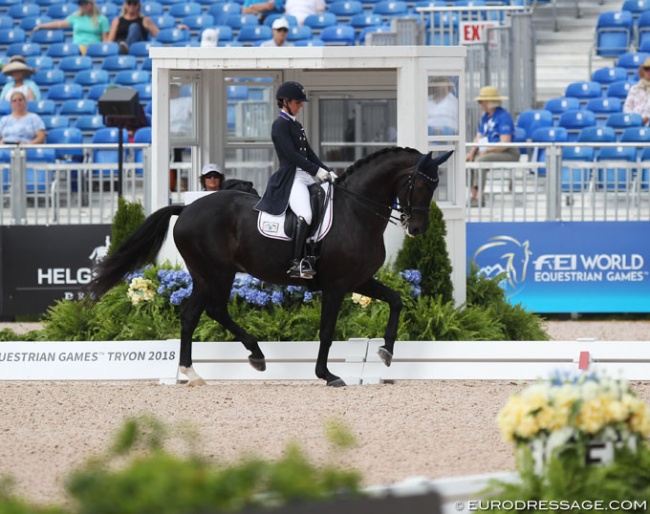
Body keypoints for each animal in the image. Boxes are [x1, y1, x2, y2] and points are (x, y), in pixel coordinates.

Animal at [86, 146, 450, 386]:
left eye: (436, 185)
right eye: (420, 184)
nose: (418, 229)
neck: (356, 213)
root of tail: (186, 209)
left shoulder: (359, 280)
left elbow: (396, 301)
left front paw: (386, 352)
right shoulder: (336, 286)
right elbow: (327, 331)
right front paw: (327, 375)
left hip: (208, 274)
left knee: (196, 314)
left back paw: (202, 369)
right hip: (216, 272)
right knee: (210, 311)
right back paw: (244, 358)